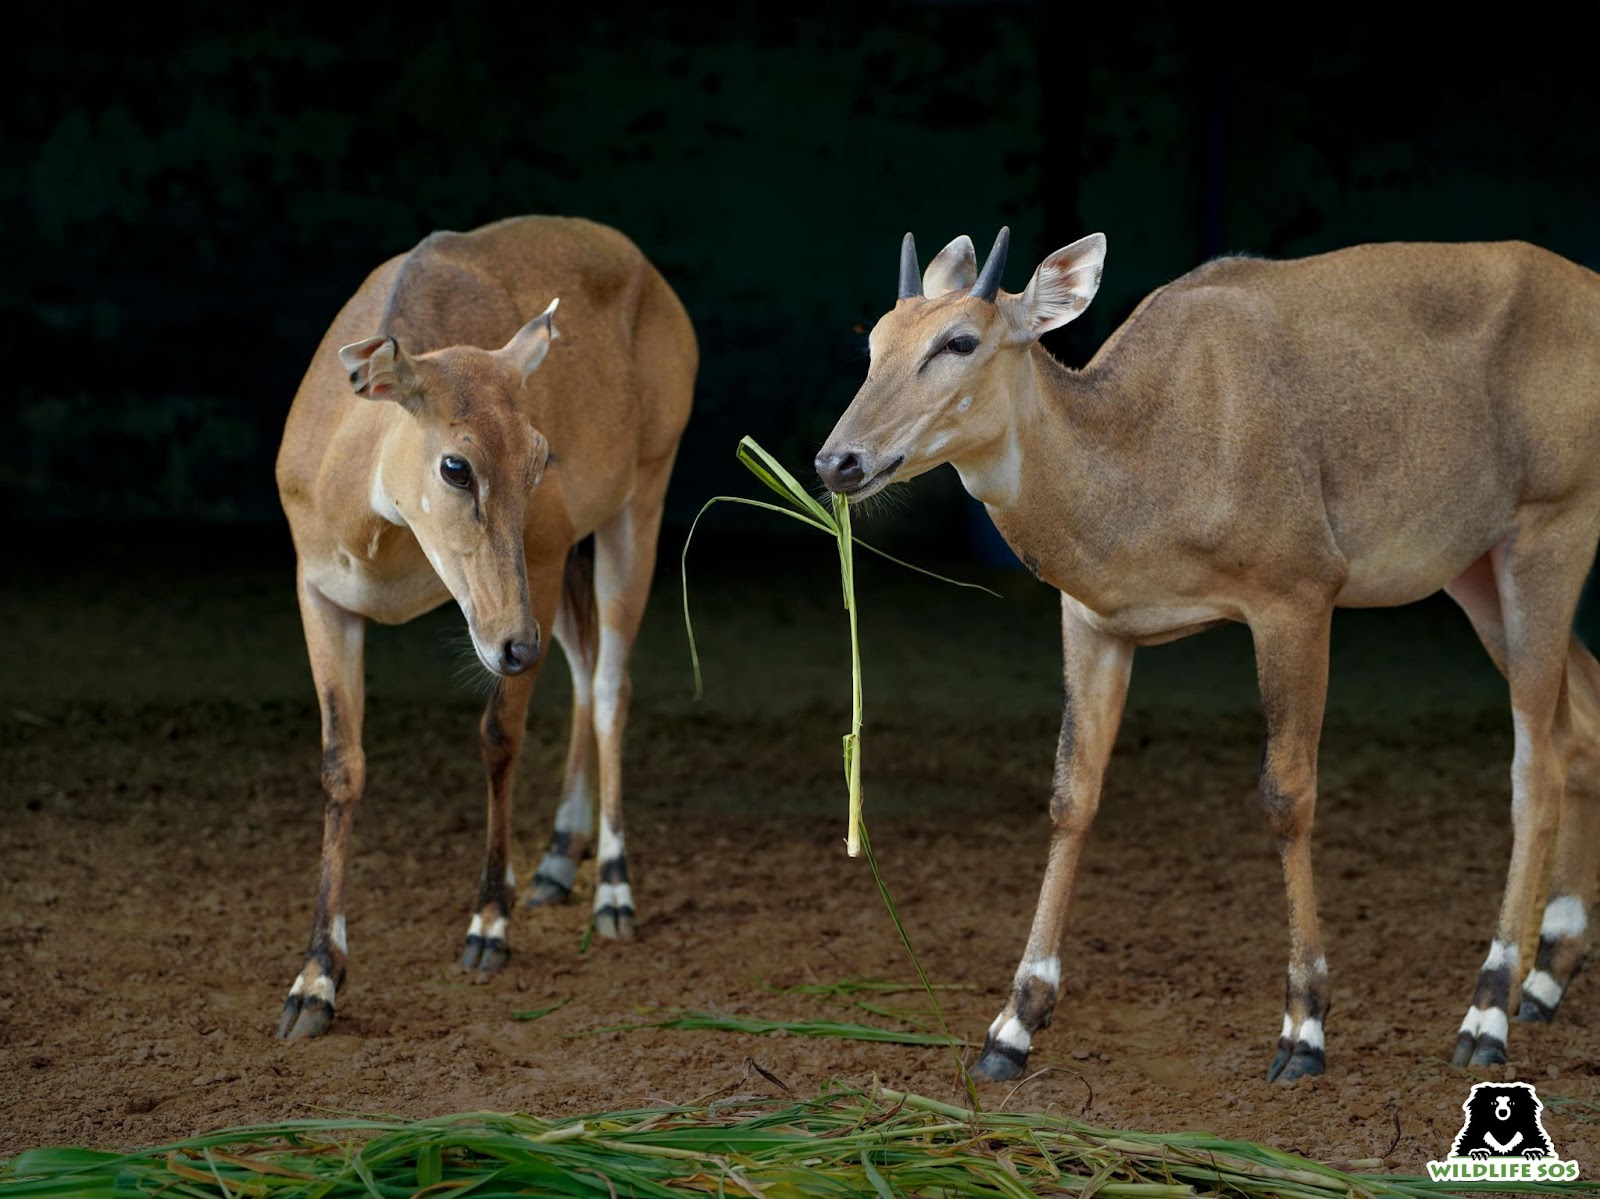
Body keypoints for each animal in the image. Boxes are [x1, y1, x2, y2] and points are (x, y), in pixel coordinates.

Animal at [273, 217, 694, 1037]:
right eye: (456, 465)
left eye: (539, 457)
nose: (514, 645)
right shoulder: (319, 590)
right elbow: (342, 764)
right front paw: (314, 982)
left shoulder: (544, 551)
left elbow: (500, 734)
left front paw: (489, 925)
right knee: (585, 663)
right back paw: (557, 860)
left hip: (640, 500)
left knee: (609, 684)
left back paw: (612, 889)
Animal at [819, 224, 1600, 1075]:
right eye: (874, 342)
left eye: (959, 340)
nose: (838, 461)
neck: (1147, 446)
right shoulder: (1093, 621)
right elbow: (1072, 795)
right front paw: (1012, 1025)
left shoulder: (1296, 595)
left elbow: (1287, 793)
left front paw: (1304, 1025)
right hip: (1476, 570)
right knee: (1582, 718)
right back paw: (1544, 980)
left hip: (1551, 530)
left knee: (1537, 761)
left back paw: (1487, 1011)